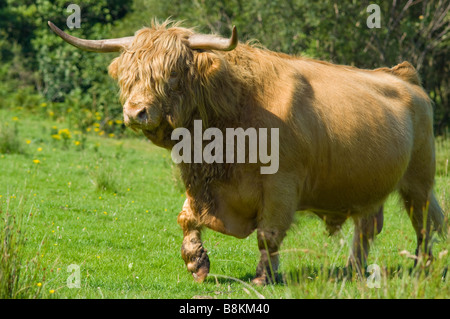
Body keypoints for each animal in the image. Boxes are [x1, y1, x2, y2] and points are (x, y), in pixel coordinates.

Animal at [49, 20, 446, 284]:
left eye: (173, 74)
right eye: (128, 75)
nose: (136, 112)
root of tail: (403, 76)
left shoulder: (281, 185)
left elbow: (268, 234)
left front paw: (262, 278)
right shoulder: (205, 186)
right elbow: (186, 218)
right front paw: (196, 262)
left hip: (419, 180)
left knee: (422, 222)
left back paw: (422, 267)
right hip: (368, 185)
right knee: (366, 228)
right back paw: (353, 270)